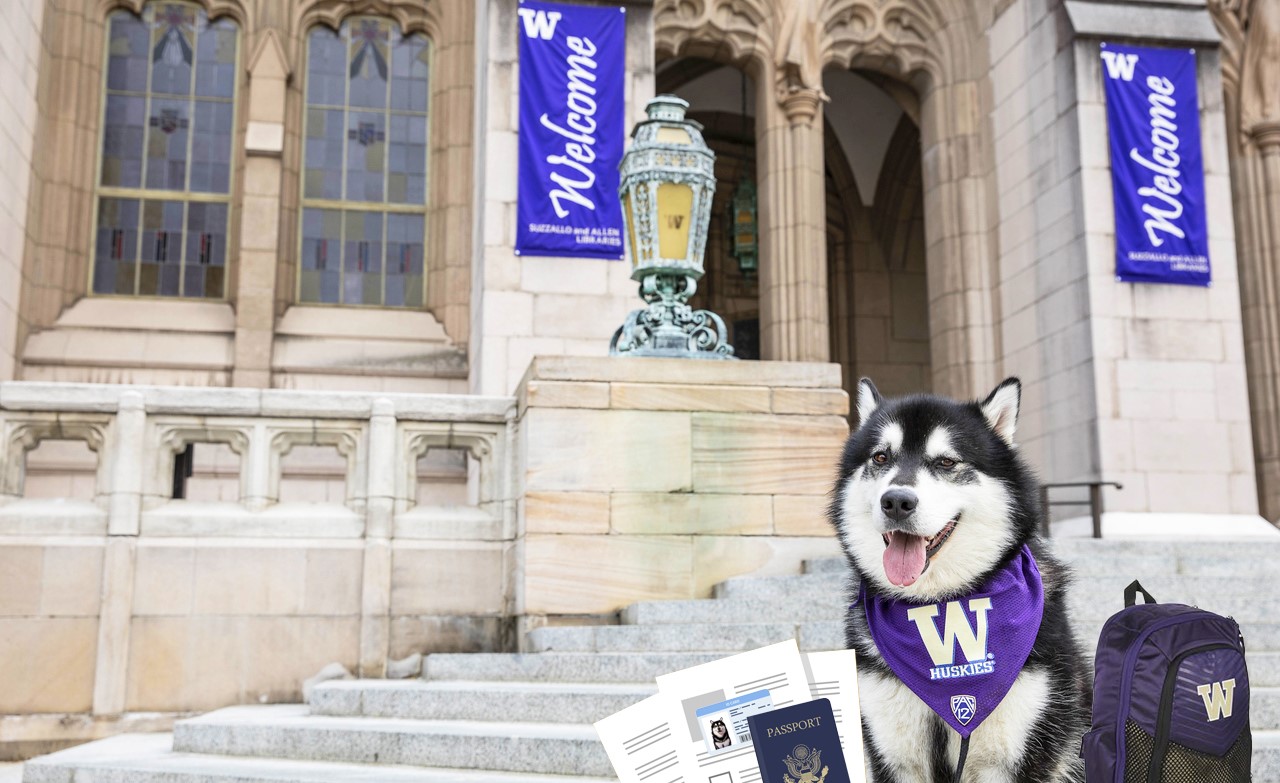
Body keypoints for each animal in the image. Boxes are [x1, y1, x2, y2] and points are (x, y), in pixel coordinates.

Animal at [829, 376, 1090, 777]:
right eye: (880, 457)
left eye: (946, 461)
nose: (897, 501)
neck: (941, 604)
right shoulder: (896, 759)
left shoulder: (1013, 757)